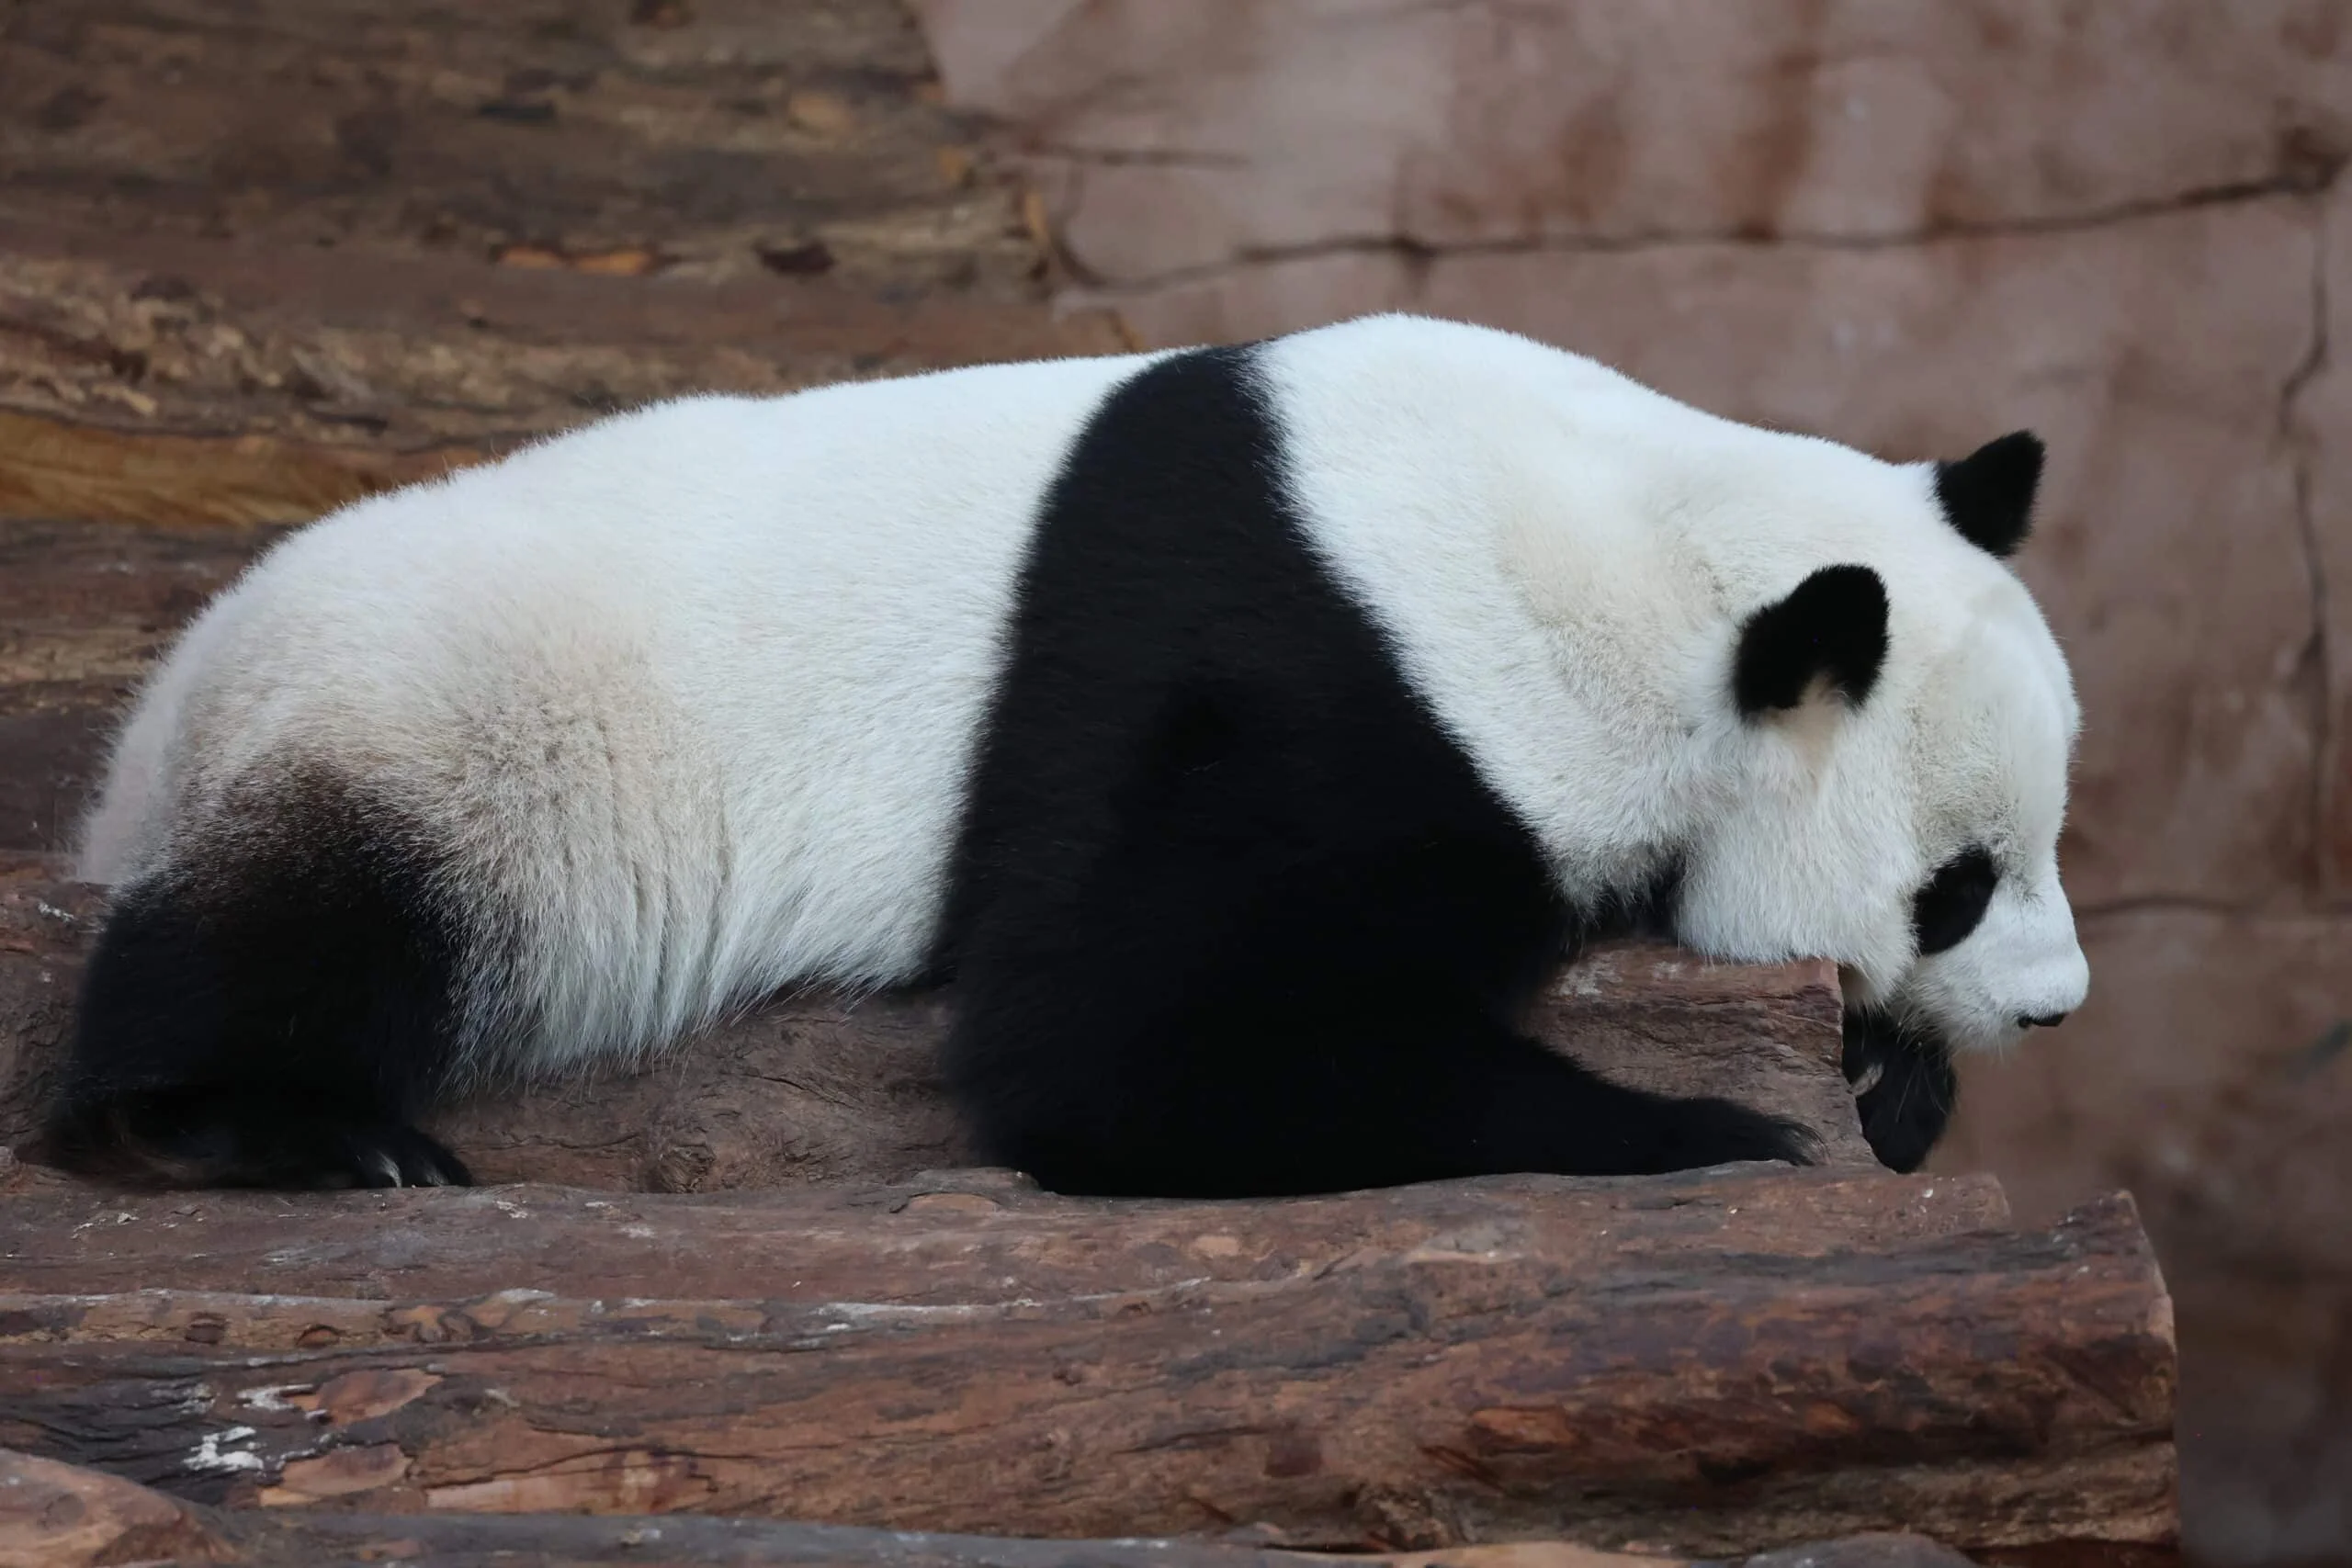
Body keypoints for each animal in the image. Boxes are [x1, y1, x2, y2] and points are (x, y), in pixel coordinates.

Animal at [39, 313, 2089, 1196]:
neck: (1650, 543)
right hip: (448, 726)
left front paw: (1883, 1078)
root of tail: (150, 726)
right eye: (1959, 878)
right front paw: (1703, 1125)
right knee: (310, 924)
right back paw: (269, 1127)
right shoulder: (1328, 672)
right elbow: (1121, 1049)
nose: (2056, 1009)